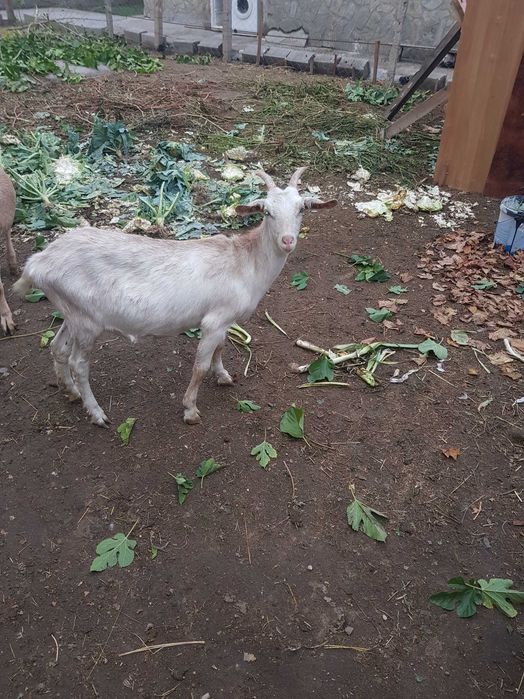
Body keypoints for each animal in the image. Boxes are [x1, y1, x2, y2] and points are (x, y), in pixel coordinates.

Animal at [14, 167, 336, 426]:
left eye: (302, 209)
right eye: (267, 212)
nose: (287, 241)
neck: (244, 262)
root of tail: (39, 262)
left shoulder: (225, 319)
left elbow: (221, 349)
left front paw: (223, 376)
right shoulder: (213, 321)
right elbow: (200, 366)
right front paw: (190, 409)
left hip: (72, 312)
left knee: (57, 347)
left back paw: (70, 393)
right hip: (86, 322)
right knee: (78, 364)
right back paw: (96, 413)